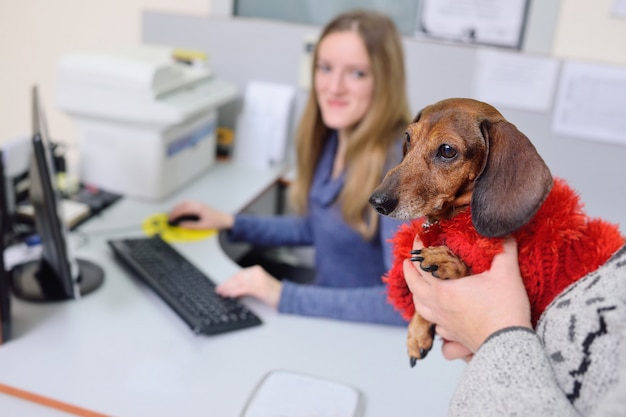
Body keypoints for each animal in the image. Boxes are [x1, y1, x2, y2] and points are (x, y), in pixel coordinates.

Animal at [368, 97, 620, 364]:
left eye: (447, 150)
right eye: (408, 137)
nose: (377, 202)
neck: (455, 216)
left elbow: (467, 269)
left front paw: (447, 260)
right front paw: (418, 330)